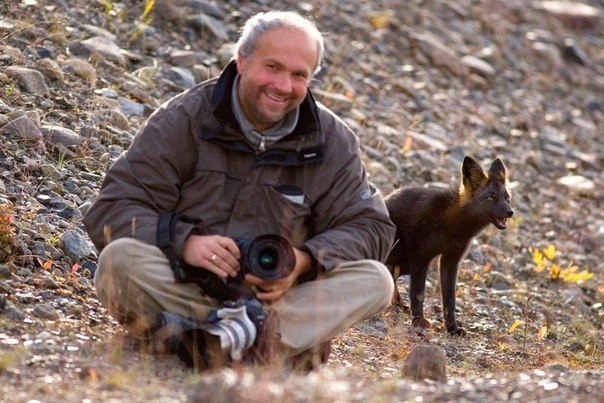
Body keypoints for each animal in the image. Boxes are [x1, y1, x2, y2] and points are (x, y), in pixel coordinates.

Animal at [384, 156, 512, 336]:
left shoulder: (451, 260)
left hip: (403, 265)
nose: (510, 212)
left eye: (507, 198)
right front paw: (418, 322)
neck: (451, 226)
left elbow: (449, 300)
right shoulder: (420, 258)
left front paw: (452, 329)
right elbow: (418, 294)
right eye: (491, 197)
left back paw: (399, 306)